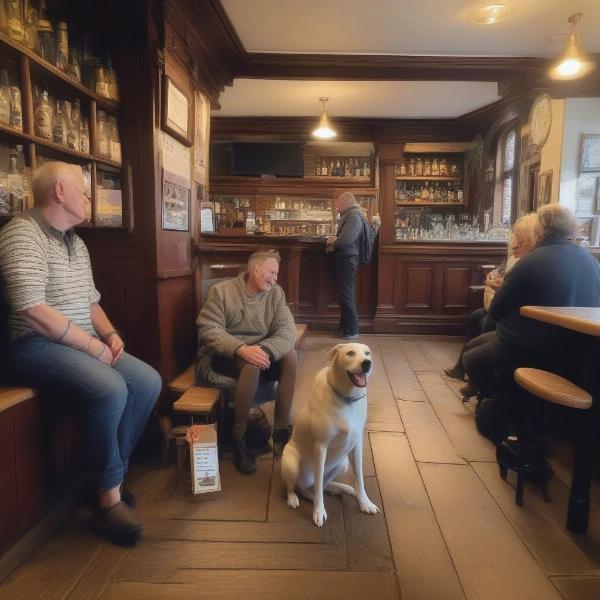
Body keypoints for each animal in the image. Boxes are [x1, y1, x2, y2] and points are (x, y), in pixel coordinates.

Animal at [282, 342, 380, 524]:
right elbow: (319, 485)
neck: (347, 398)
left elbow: (360, 477)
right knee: (298, 487)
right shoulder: (321, 447)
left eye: (367, 353)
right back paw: (294, 498)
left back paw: (338, 488)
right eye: (350, 353)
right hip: (291, 463)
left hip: (343, 464)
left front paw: (364, 502)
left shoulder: (357, 445)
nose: (367, 364)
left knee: (319, 486)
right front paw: (319, 511)